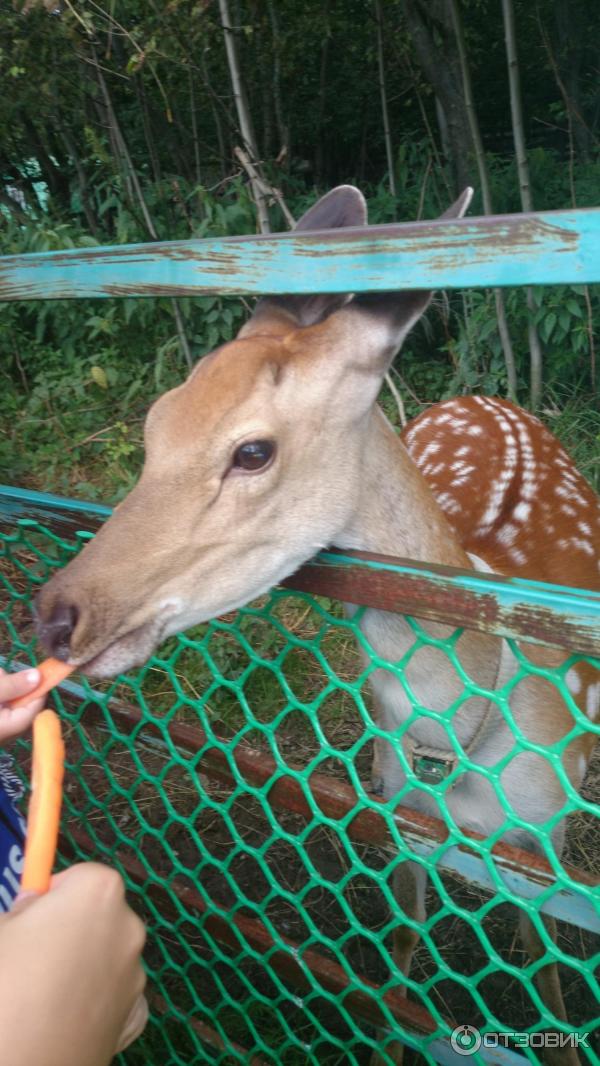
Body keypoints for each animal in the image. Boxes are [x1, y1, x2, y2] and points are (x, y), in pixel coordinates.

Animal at [35, 187, 596, 1061]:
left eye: (252, 451)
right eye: (154, 428)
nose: (57, 617)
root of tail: (484, 396)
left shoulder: (547, 841)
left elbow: (545, 977)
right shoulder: (396, 810)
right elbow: (401, 953)